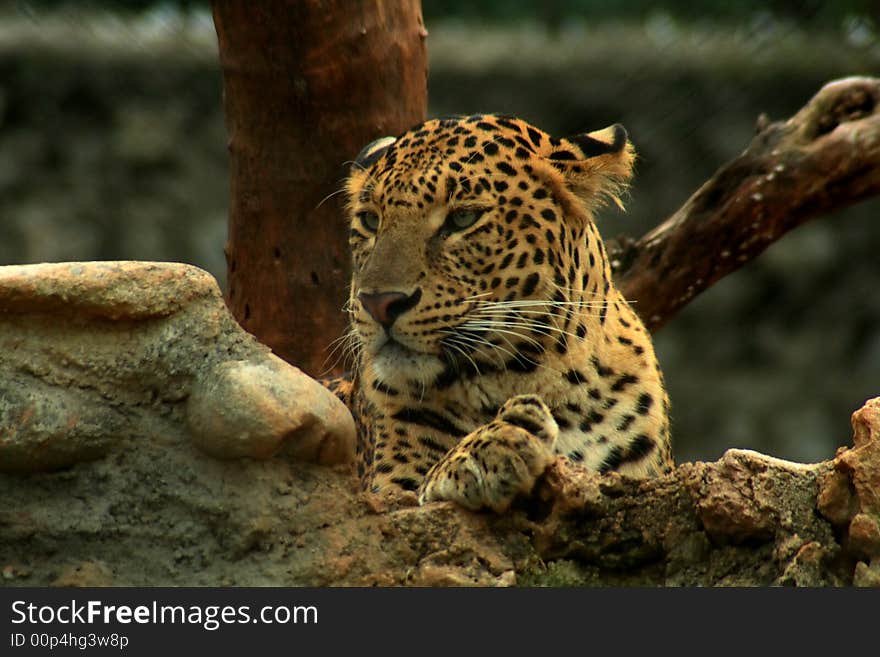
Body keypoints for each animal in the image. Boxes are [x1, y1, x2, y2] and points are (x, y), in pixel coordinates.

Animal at [324, 113, 672, 512]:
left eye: (463, 219)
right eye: (370, 220)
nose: (379, 303)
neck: (539, 380)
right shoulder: (381, 492)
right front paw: (490, 447)